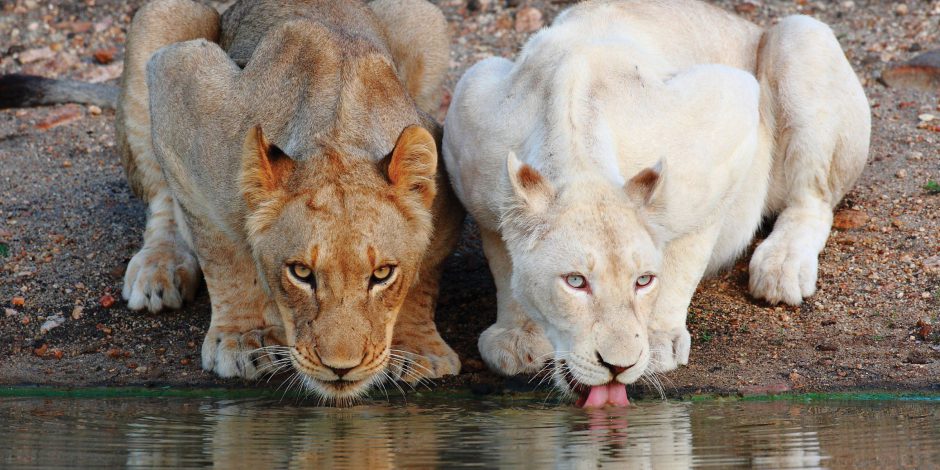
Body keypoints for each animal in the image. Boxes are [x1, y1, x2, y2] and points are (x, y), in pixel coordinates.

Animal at [444, 0, 872, 406]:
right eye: (575, 282)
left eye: (643, 281)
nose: (618, 366)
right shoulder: (470, 114)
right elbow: (502, 256)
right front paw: (517, 338)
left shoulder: (729, 113)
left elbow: (686, 255)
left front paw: (658, 341)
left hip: (801, 37)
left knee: (812, 200)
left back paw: (782, 269)